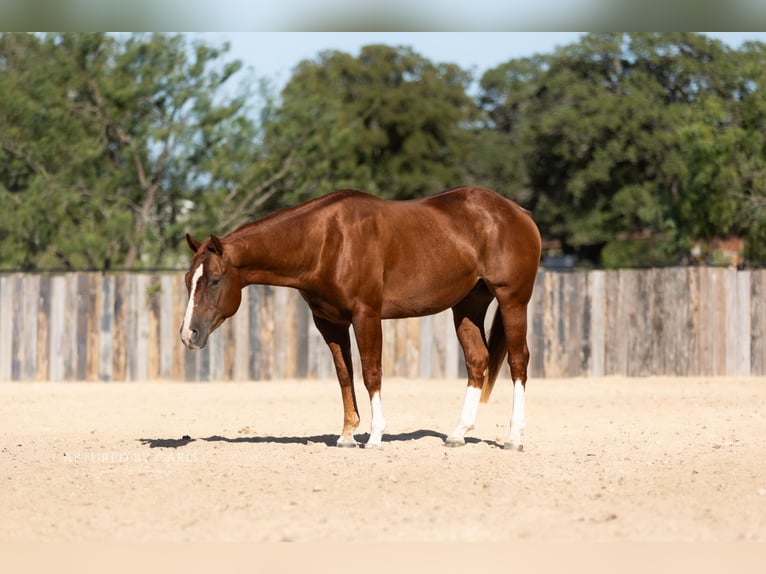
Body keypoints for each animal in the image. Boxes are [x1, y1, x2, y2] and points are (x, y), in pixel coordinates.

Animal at [180, 186, 541, 450]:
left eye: (214, 280)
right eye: (187, 280)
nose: (188, 334)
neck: (326, 242)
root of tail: (519, 213)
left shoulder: (366, 315)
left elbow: (371, 372)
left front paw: (375, 435)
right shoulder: (329, 322)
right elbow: (344, 374)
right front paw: (346, 435)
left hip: (512, 300)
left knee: (518, 361)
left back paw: (513, 437)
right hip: (468, 306)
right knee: (477, 360)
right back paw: (457, 433)